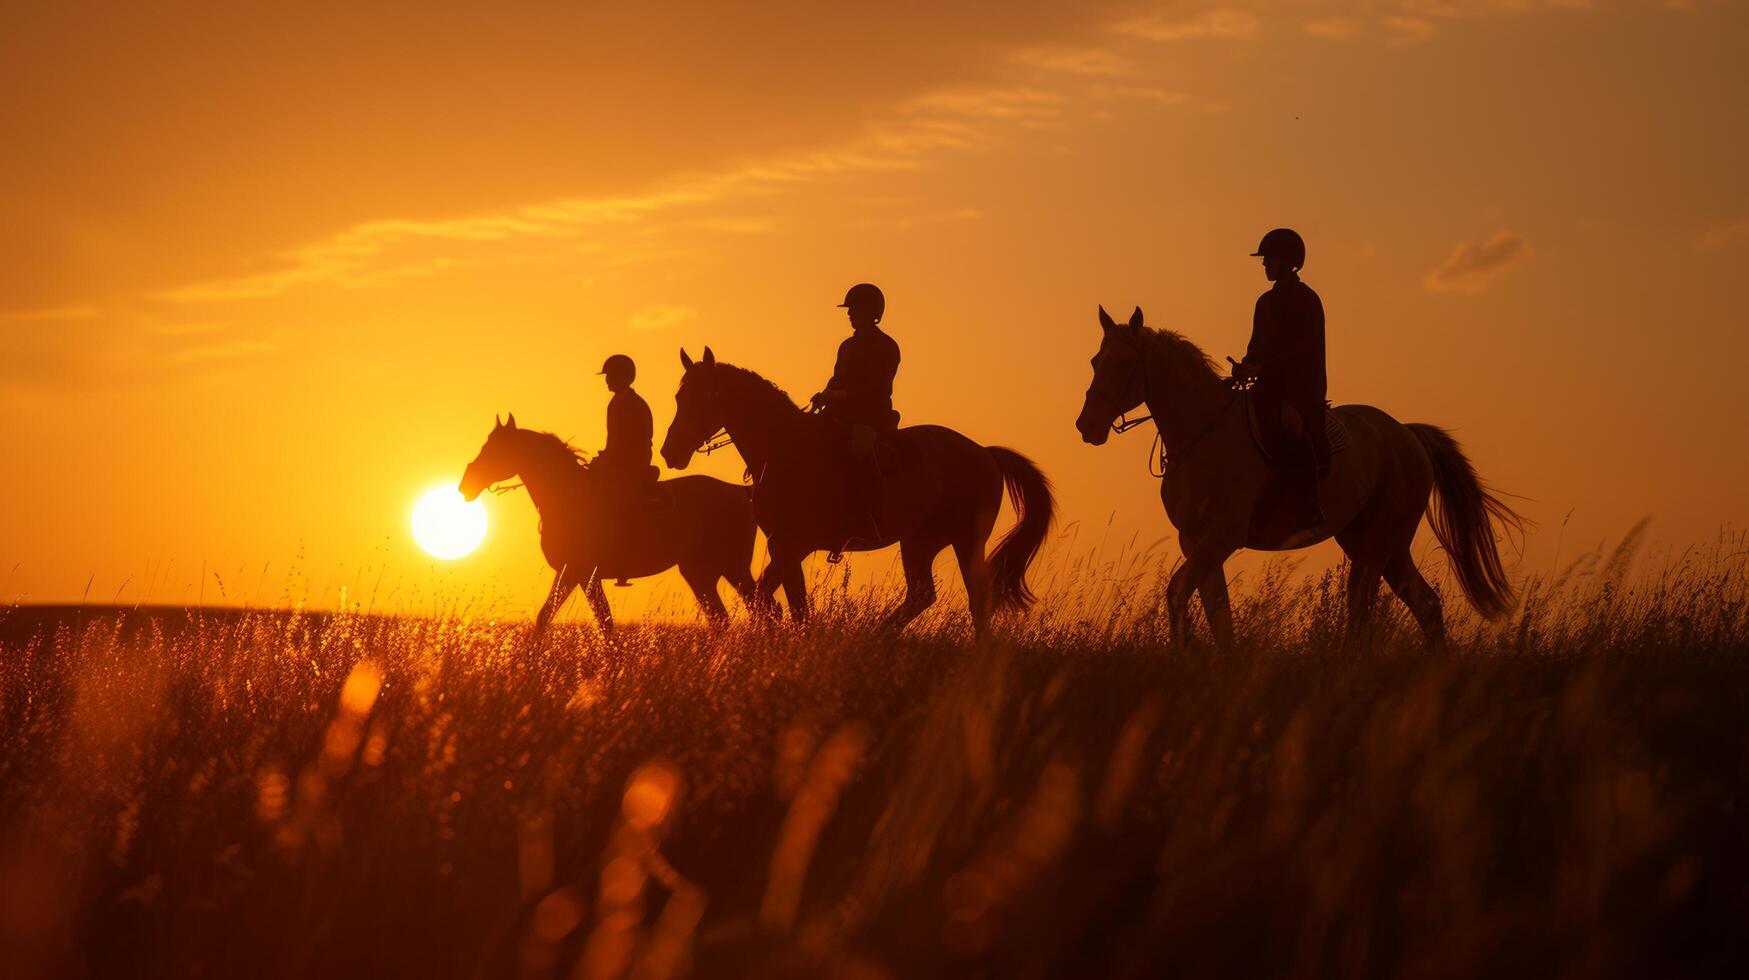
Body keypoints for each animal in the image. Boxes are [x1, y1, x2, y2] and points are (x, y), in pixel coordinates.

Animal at [461, 414, 755, 637]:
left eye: (494, 449)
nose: (466, 484)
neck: (567, 496)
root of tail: (742, 493)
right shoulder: (575, 574)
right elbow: (571, 618)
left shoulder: (578, 572)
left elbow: (593, 621)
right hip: (700, 572)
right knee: (721, 618)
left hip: (733, 567)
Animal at [657, 348, 1049, 640]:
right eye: (678, 397)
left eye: (705, 397)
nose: (670, 453)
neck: (784, 448)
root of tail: (985, 453)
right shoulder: (782, 545)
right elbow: (768, 598)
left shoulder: (792, 544)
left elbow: (791, 605)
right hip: (920, 540)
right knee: (923, 593)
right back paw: (879, 637)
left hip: (965, 539)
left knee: (975, 595)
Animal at [1070, 306, 1525, 651]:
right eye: (1095, 361)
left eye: (1124, 362)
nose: (1086, 426)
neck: (1203, 433)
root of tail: (1406, 433)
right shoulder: (1195, 538)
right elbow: (1217, 610)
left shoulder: (1224, 533)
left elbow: (1179, 591)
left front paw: (1183, 656)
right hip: (1374, 542)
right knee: (1424, 603)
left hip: (1380, 540)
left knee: (1365, 609)